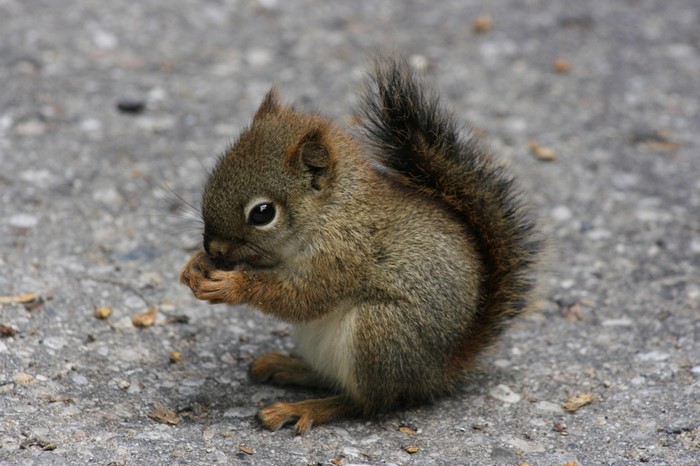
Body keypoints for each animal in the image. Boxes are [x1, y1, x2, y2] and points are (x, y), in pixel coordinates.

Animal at [180, 55, 542, 435]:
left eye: (263, 213)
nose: (214, 249)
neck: (332, 212)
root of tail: (436, 372)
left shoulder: (343, 255)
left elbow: (304, 298)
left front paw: (231, 285)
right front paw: (195, 266)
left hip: (380, 332)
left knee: (366, 403)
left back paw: (303, 408)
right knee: (332, 379)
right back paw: (287, 367)